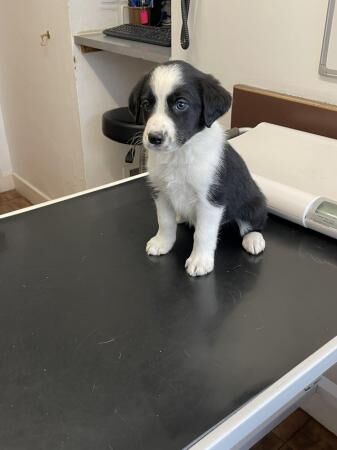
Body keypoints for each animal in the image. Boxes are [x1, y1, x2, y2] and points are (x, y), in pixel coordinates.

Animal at [127, 61, 266, 276]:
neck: (180, 153)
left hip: (253, 203)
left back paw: (254, 239)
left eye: (181, 104)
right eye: (146, 104)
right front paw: (162, 243)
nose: (154, 138)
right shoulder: (161, 193)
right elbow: (164, 222)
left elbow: (203, 233)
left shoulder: (210, 201)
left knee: (254, 223)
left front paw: (200, 260)